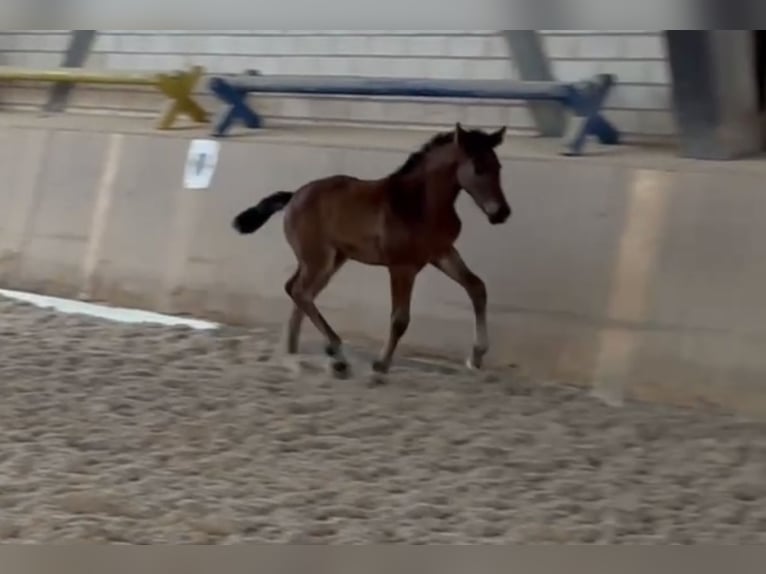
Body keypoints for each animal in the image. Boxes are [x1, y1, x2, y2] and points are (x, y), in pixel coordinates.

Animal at [231, 124, 512, 380]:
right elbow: (400, 318)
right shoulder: (402, 266)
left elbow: (477, 287)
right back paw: (335, 355)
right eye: (478, 168)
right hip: (319, 260)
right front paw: (381, 365)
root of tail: (292, 196)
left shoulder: (441, 253)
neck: (419, 204)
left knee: (298, 291)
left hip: (331, 260)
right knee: (301, 292)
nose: (501, 213)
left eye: (498, 167)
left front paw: (476, 356)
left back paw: (295, 354)